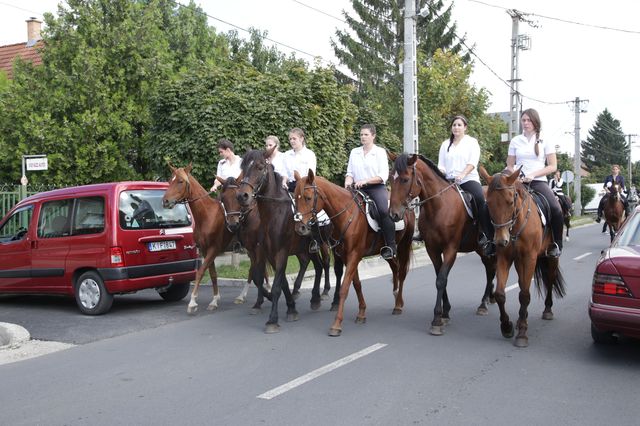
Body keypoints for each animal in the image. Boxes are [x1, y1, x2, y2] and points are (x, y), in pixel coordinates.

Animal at [162, 163, 250, 312]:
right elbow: (213, 274)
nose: (165, 201)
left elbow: (200, 272)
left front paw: (192, 303)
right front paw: (214, 300)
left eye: (180, 181)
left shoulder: (214, 249)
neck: (207, 216)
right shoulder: (205, 249)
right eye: (170, 180)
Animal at [236, 149, 330, 332]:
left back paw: (321, 295)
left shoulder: (281, 252)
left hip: (321, 244)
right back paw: (313, 298)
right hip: (305, 248)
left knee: (326, 265)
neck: (274, 214)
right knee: (317, 266)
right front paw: (291, 308)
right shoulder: (269, 253)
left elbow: (277, 286)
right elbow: (282, 282)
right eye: (243, 167)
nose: (242, 196)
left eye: (259, 167)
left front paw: (272, 320)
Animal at [290, 169, 416, 336]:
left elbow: (344, 288)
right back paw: (395, 296)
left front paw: (336, 324)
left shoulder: (354, 255)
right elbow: (356, 284)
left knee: (401, 272)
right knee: (395, 268)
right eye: (295, 199)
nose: (300, 228)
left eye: (308, 198)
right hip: (386, 251)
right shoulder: (347, 256)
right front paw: (361, 313)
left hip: (404, 245)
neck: (347, 215)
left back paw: (398, 304)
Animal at [388, 153, 498, 336]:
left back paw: (483, 303)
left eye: (404, 179)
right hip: (480, 249)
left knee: (491, 269)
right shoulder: (432, 249)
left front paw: (437, 320)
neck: (439, 207)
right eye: (390, 178)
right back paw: (490, 297)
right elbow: (439, 277)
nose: (393, 214)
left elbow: (441, 280)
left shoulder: (450, 249)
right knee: (491, 268)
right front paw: (445, 313)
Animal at [478, 166, 568, 346]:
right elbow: (500, 294)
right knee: (522, 283)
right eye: (488, 203)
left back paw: (547, 310)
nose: (501, 240)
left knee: (550, 278)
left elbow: (525, 295)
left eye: (510, 201)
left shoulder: (529, 258)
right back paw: (521, 318)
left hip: (551, 257)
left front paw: (522, 334)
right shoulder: (504, 258)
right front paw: (507, 327)